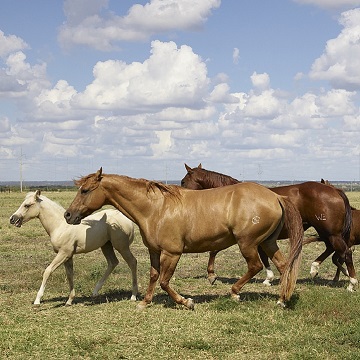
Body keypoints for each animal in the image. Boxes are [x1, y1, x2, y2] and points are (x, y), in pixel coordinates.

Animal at [64, 168, 304, 310]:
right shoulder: (154, 251)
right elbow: (153, 276)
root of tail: (275, 196)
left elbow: (164, 281)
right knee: (283, 266)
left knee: (255, 266)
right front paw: (145, 302)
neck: (155, 208)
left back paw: (236, 293)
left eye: (85, 190)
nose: (68, 215)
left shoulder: (172, 253)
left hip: (248, 243)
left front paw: (186, 301)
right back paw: (282, 299)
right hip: (268, 242)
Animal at [181, 165, 356, 292]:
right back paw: (316, 268)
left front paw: (211, 275)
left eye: (183, 181)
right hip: (326, 232)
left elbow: (213, 250)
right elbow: (265, 257)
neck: (232, 196)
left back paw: (351, 282)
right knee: (333, 249)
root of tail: (334, 190)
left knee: (345, 252)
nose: (181, 193)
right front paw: (270, 277)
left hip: (331, 232)